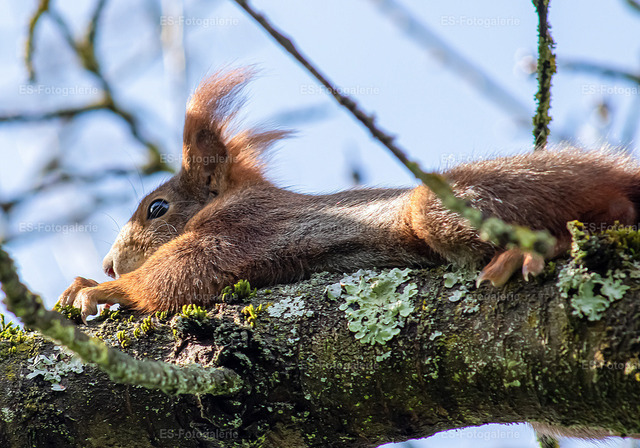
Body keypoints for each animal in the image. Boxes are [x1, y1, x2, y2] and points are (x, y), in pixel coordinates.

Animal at [57, 68, 640, 323]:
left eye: (156, 208)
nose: (109, 263)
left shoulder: (243, 226)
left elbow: (182, 276)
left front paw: (101, 289)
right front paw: (89, 283)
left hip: (447, 204)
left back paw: (527, 251)